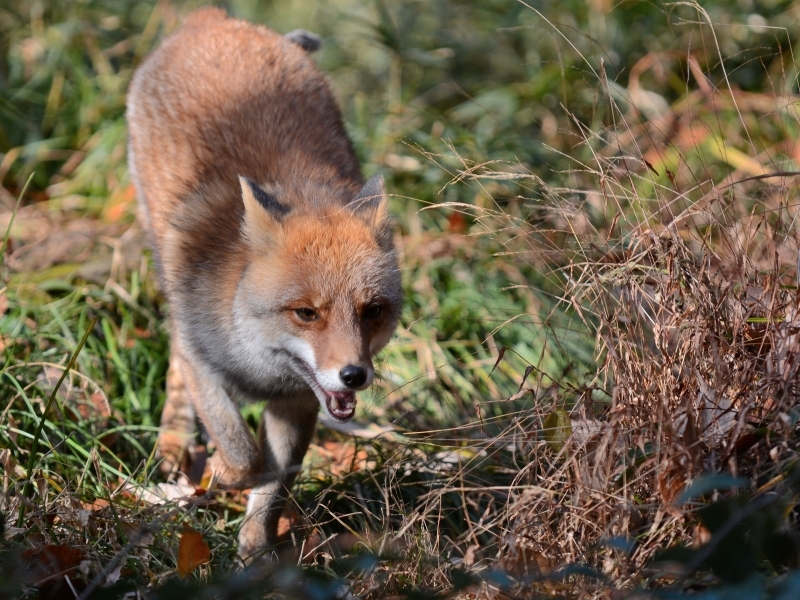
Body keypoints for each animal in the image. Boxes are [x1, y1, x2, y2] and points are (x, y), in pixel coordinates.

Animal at [127, 8, 404, 564]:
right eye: (306, 313)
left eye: (372, 311)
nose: (353, 376)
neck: (260, 368)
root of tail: (211, 18)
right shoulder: (204, 362)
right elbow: (244, 458)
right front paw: (213, 479)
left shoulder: (298, 403)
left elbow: (273, 487)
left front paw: (255, 558)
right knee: (173, 358)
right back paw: (172, 446)